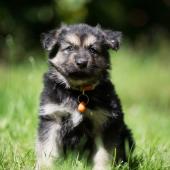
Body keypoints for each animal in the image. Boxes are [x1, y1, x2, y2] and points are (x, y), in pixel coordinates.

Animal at [35, 23, 134, 170]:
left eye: (93, 49)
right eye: (69, 48)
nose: (81, 62)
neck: (79, 91)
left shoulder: (105, 123)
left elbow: (103, 153)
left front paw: (102, 168)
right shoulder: (52, 118)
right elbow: (47, 148)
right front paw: (45, 167)